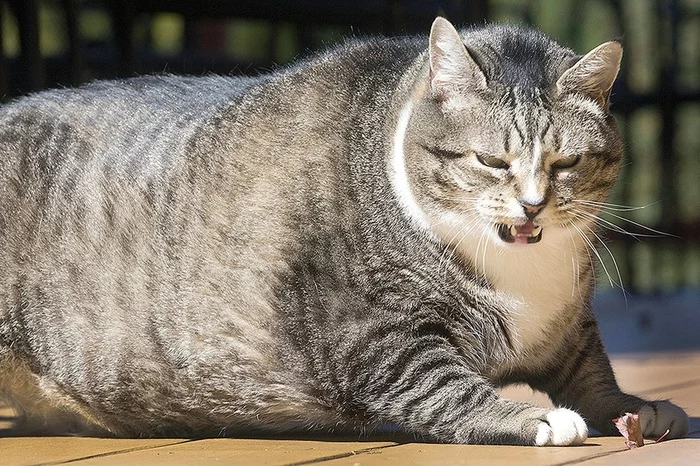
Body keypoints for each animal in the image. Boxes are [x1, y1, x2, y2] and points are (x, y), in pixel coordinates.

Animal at [0, 18, 688, 444]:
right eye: (492, 161)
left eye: (565, 163)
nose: (532, 206)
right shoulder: (375, 343)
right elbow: (449, 389)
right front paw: (534, 420)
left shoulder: (567, 329)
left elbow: (593, 375)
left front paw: (635, 408)